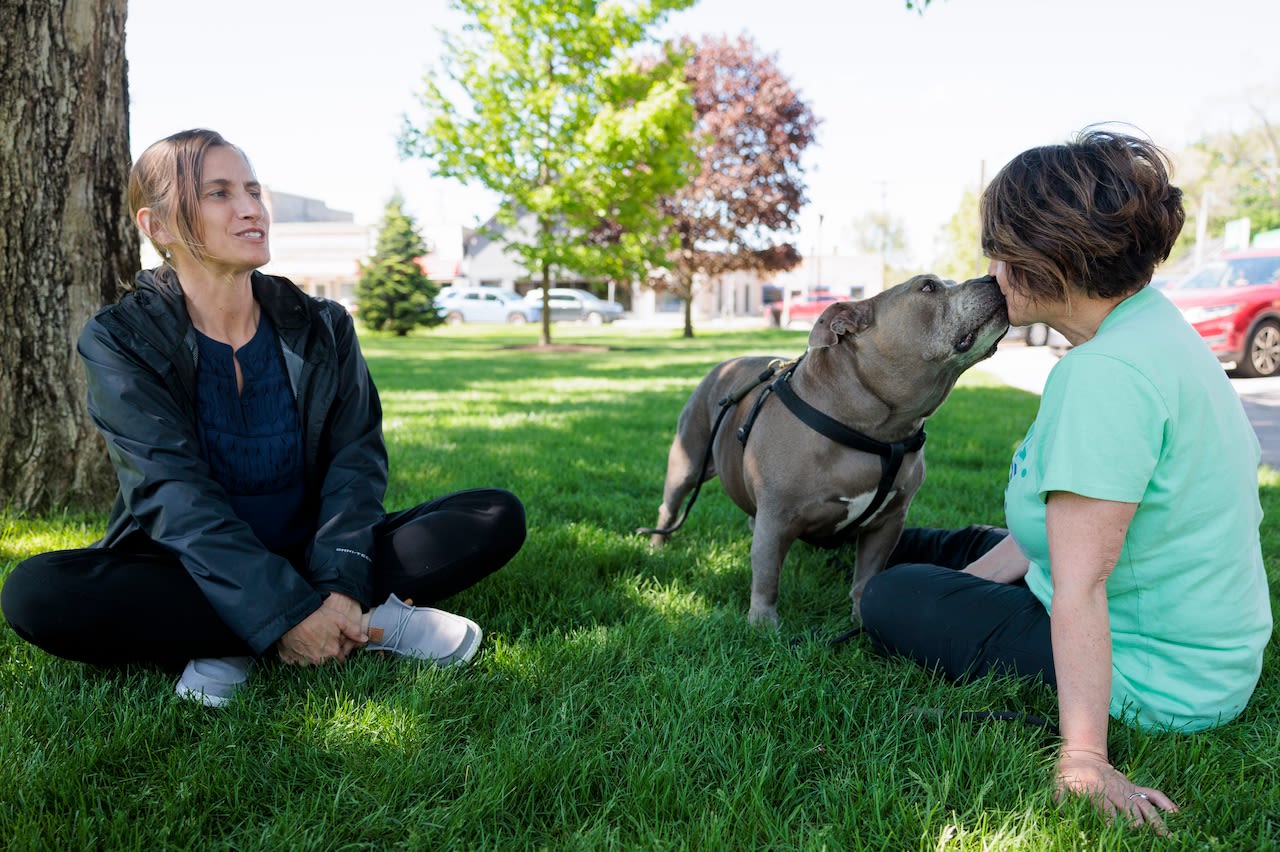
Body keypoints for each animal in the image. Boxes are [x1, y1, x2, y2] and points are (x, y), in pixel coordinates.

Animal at [655, 272, 1003, 624]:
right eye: (928, 286)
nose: (992, 277)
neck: (878, 431)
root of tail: (723, 365)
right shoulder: (777, 516)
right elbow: (767, 572)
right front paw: (763, 623)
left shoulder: (888, 521)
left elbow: (867, 575)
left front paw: (861, 618)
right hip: (687, 463)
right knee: (669, 508)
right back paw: (657, 546)